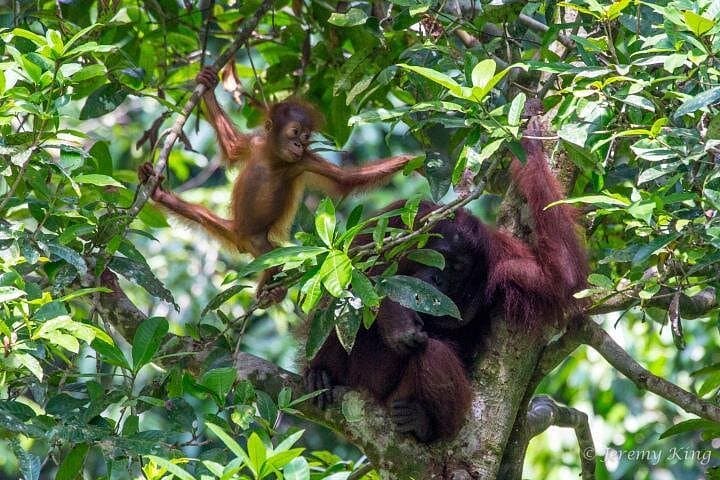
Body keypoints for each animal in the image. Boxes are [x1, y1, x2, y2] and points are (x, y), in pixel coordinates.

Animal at [138, 66, 417, 304]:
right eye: (295, 132)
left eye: (306, 136)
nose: (299, 144)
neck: (273, 159)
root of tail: (240, 239)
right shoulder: (255, 144)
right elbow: (232, 146)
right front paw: (207, 86)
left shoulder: (304, 162)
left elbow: (344, 180)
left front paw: (409, 160)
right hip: (231, 228)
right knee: (198, 214)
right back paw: (160, 194)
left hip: (265, 248)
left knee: (275, 263)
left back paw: (271, 293)